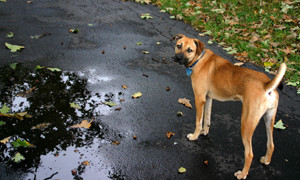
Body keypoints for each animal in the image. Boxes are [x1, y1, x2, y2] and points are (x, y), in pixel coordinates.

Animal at [173, 34, 288, 180]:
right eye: (179, 45)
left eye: (189, 50)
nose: (177, 58)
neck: (199, 59)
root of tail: (267, 85)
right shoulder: (208, 99)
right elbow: (207, 119)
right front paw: (205, 131)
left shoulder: (199, 99)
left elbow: (198, 121)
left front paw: (195, 136)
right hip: (269, 119)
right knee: (271, 144)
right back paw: (266, 160)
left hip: (246, 123)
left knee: (249, 154)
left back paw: (242, 174)